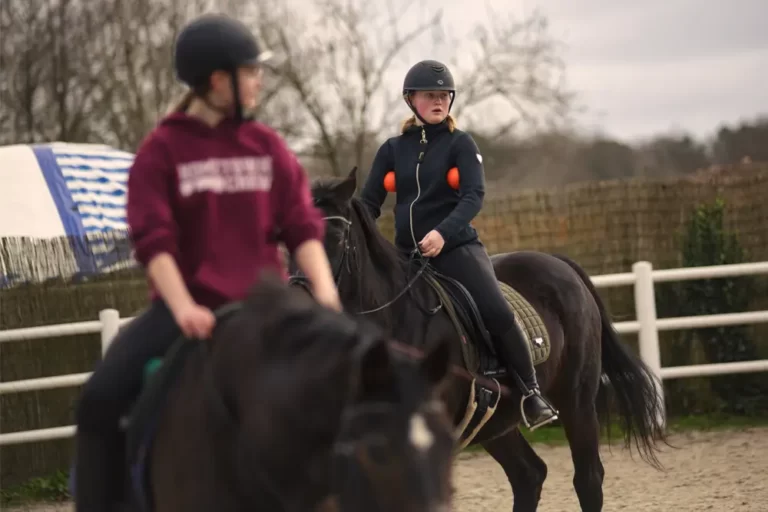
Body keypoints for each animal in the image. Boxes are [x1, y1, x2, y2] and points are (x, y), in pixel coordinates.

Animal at [296, 171, 668, 512]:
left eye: (337, 235)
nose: (302, 294)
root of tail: (560, 264)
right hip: (494, 422)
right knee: (529, 475)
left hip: (577, 400)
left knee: (588, 479)